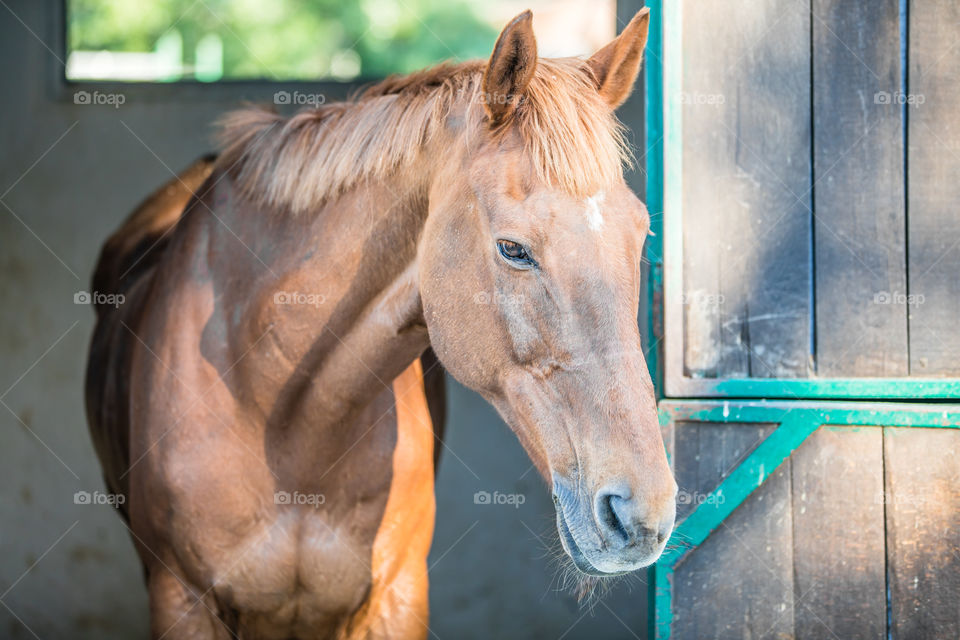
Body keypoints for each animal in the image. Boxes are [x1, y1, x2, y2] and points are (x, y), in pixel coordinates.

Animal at [88, 10, 676, 640]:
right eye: (513, 249)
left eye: (641, 235)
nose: (642, 515)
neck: (285, 419)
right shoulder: (183, 602)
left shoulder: (396, 596)